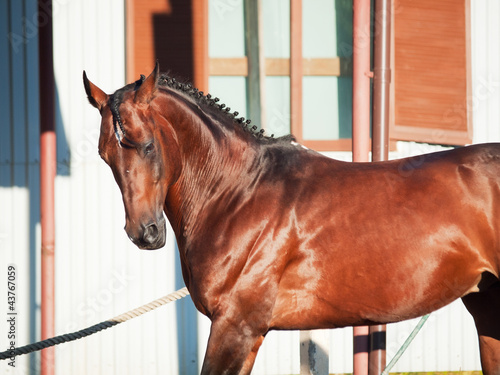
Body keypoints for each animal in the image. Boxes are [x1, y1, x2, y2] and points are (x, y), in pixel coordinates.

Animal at [83, 63, 500, 374]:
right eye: (105, 155)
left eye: (147, 145)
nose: (145, 233)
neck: (239, 193)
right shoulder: (248, 334)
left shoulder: (235, 327)